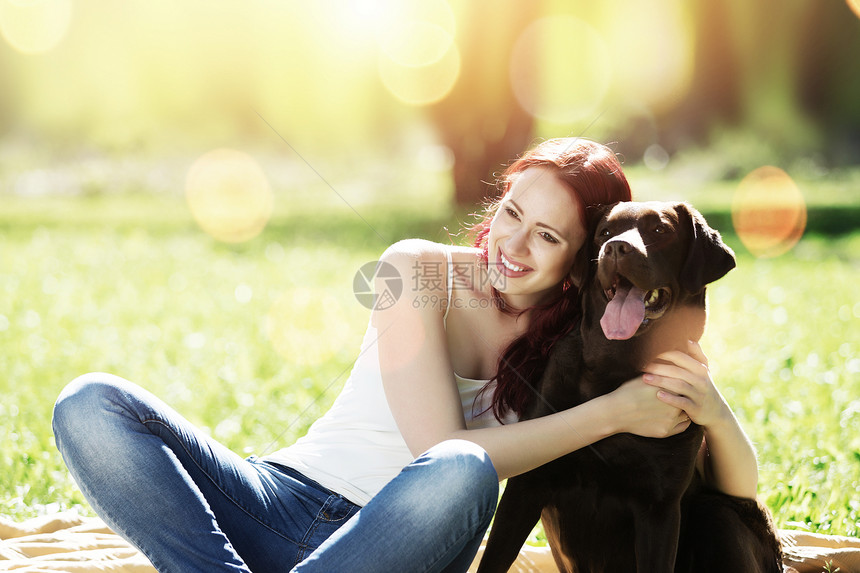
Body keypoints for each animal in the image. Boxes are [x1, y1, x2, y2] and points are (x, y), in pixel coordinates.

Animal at [480, 201, 784, 572]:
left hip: (722, 514)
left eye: (661, 230)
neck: (614, 371)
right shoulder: (525, 486)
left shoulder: (659, 506)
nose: (615, 248)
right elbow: (493, 557)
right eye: (604, 233)